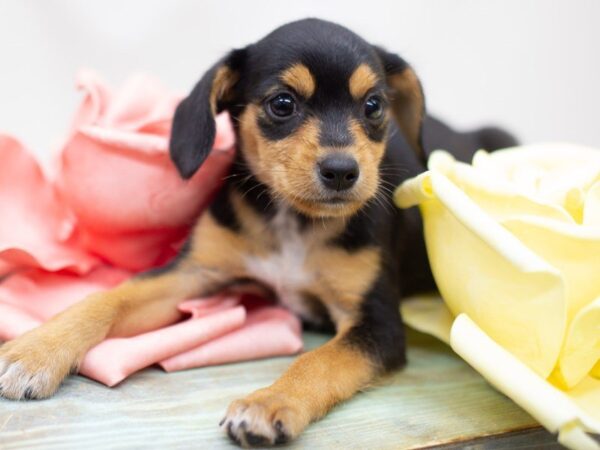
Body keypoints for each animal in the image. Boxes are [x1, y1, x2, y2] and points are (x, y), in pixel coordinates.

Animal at [0, 18, 516, 446]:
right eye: (282, 104)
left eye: (373, 106)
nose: (342, 171)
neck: (293, 222)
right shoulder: (192, 272)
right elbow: (106, 299)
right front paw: (33, 352)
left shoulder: (377, 323)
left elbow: (319, 361)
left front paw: (268, 404)